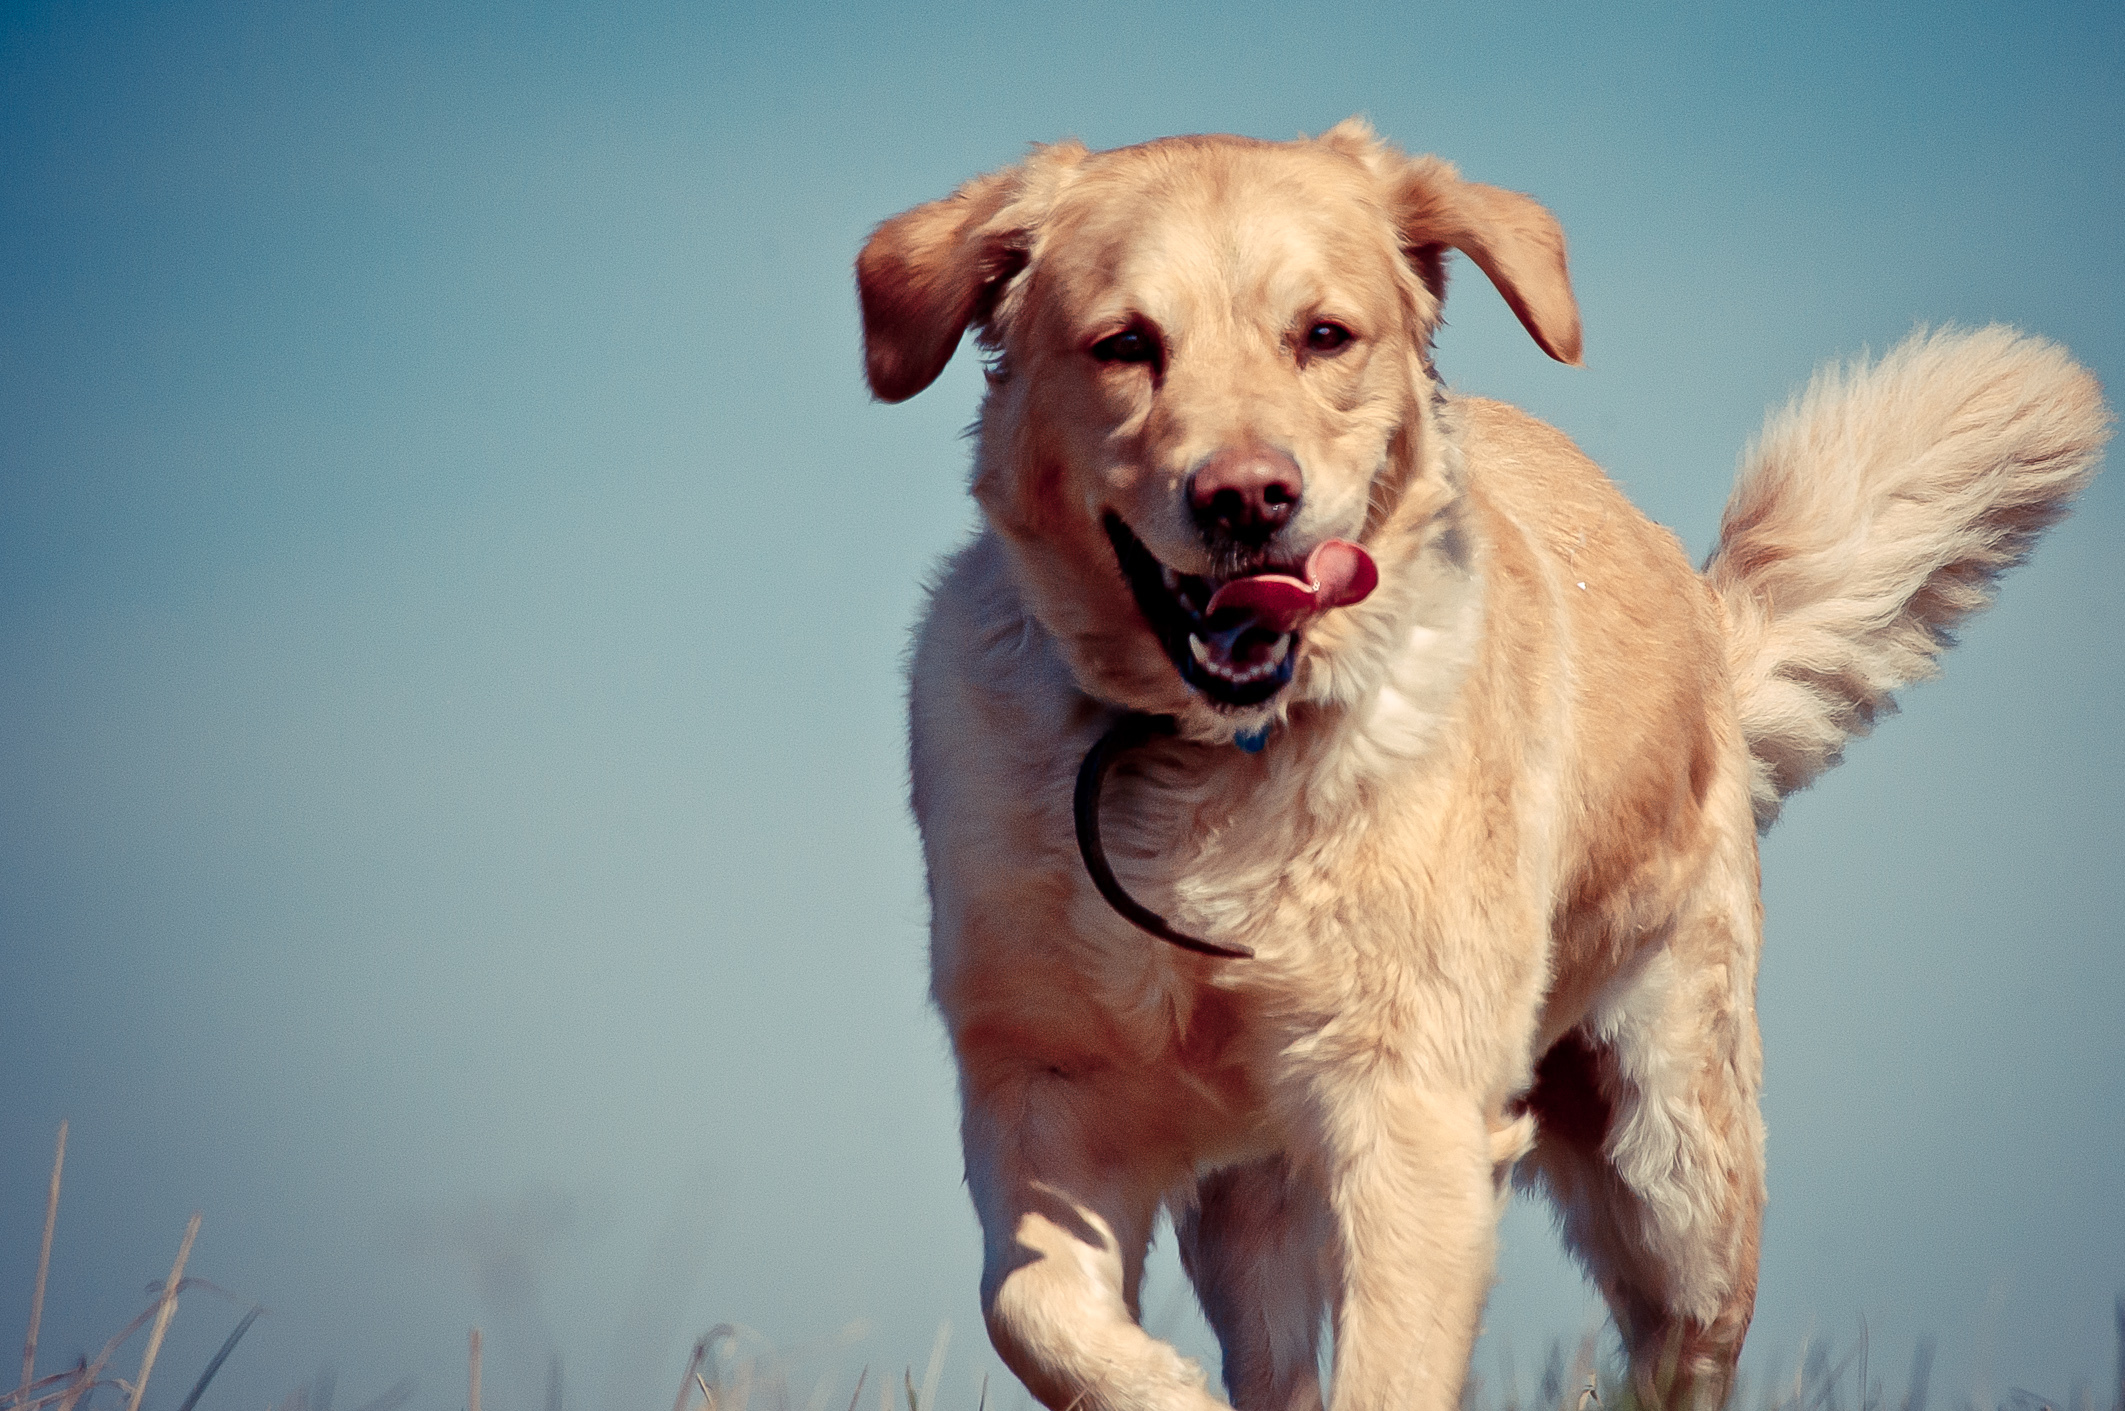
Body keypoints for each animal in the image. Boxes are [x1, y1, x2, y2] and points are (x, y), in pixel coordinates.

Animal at [850, 121, 2108, 1411]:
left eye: (1324, 335)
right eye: (1124, 345)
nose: (1247, 498)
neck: (1209, 754)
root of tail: (1704, 617)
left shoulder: (1411, 1112)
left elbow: (1388, 1369)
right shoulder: (1041, 1090)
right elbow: (1029, 1310)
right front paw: (1165, 1391)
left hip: (1673, 1165)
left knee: (1684, 1341)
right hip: (1261, 1199)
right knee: (1270, 1350)